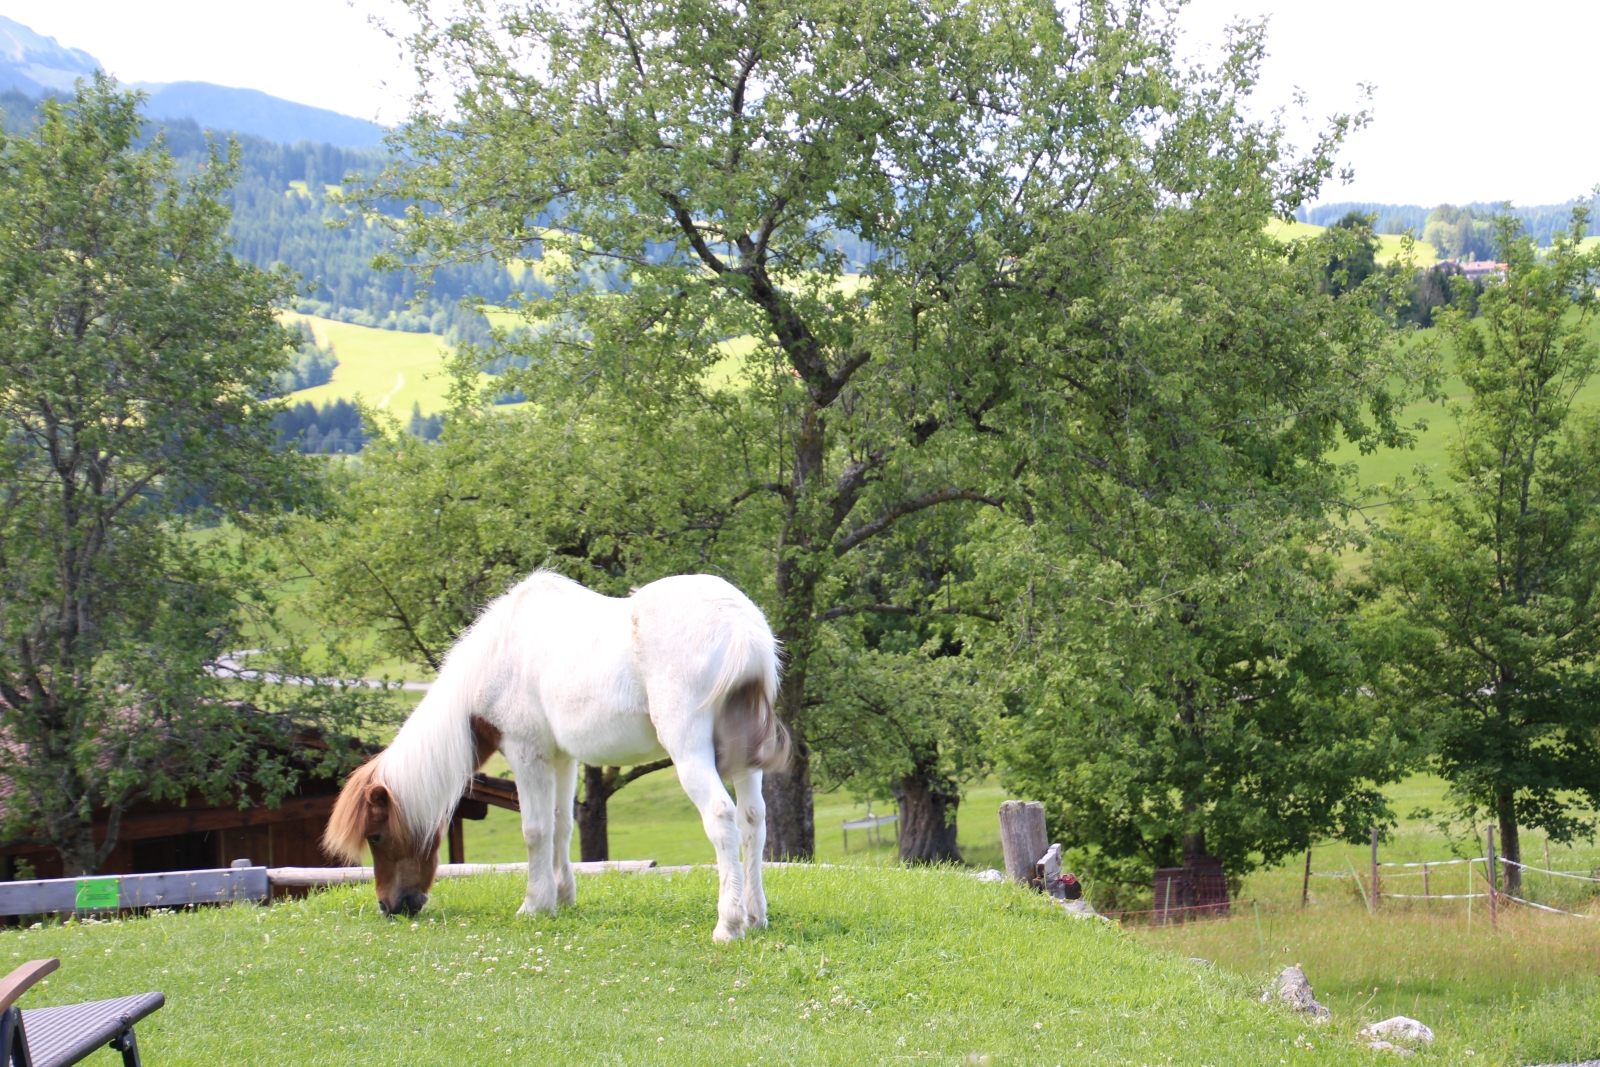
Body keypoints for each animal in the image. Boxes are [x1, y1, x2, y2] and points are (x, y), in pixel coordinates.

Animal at [321, 575, 784, 940]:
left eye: (376, 836)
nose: (390, 906)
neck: (499, 655)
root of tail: (740, 625)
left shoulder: (527, 753)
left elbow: (536, 830)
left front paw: (534, 903)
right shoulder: (563, 759)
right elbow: (562, 825)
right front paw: (563, 897)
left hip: (689, 750)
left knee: (721, 816)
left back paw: (729, 924)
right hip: (745, 761)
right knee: (753, 822)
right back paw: (755, 916)